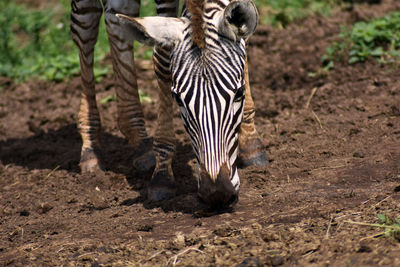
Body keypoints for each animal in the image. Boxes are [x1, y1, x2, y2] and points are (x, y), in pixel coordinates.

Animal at [71, 0, 268, 208]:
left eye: (239, 93)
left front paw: (251, 139)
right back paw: (91, 148)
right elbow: (162, 58)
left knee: (117, 21)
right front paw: (162, 175)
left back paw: (139, 142)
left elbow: (244, 44)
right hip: (86, 24)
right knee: (85, 29)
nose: (217, 194)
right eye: (178, 99)